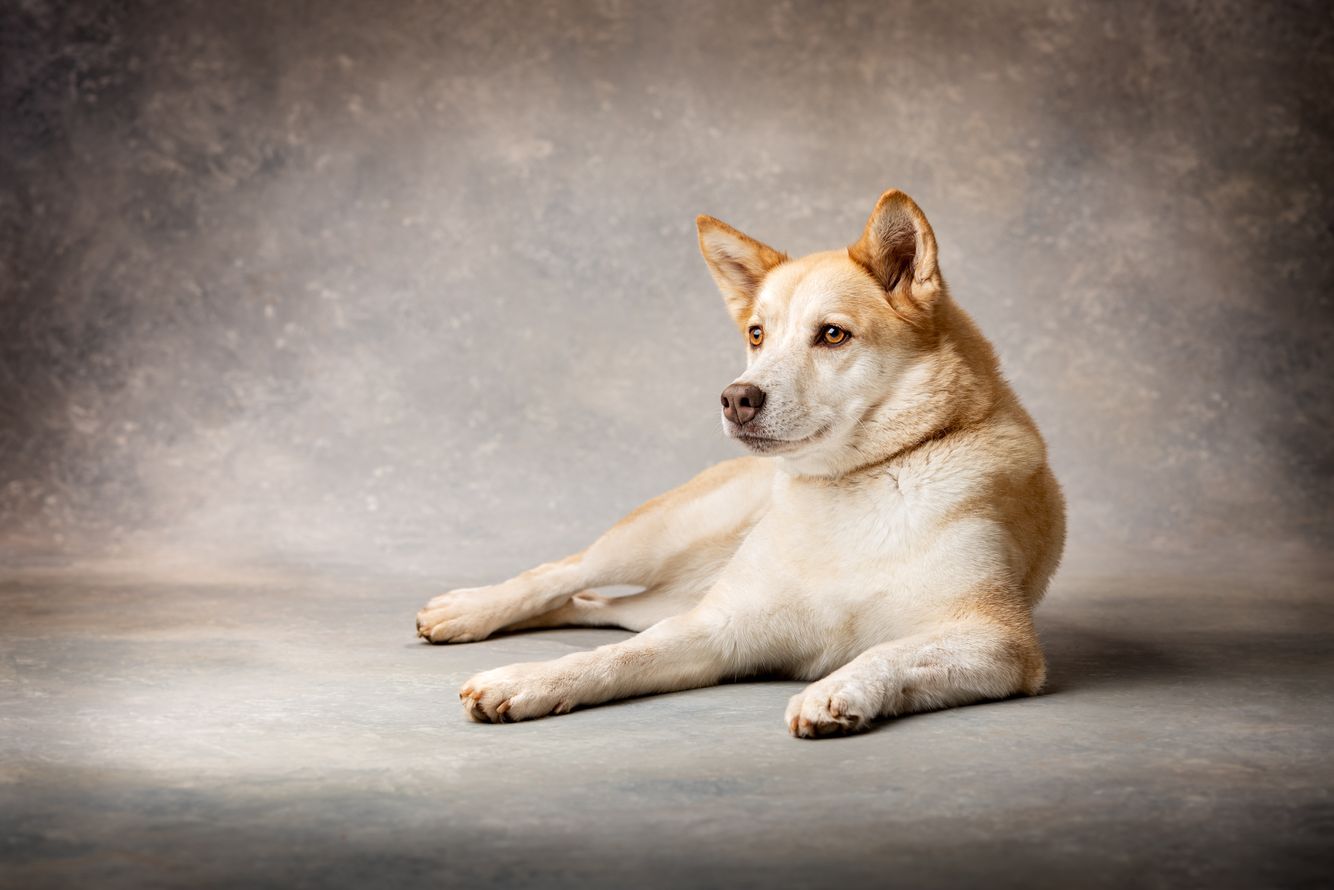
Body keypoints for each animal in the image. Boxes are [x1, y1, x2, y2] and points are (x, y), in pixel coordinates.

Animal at [413, 188, 1061, 736]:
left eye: (832, 335)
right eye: (756, 334)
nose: (736, 398)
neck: (854, 485)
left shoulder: (998, 640)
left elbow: (889, 650)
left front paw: (839, 690)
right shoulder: (716, 628)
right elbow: (618, 658)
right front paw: (531, 680)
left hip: (671, 594)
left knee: (601, 607)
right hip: (659, 537)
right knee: (564, 573)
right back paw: (468, 610)